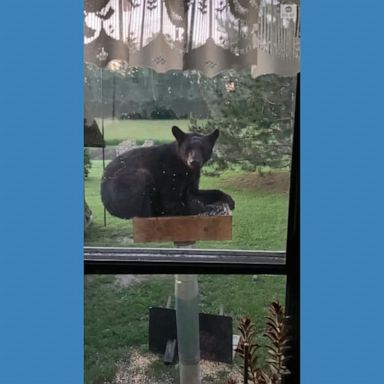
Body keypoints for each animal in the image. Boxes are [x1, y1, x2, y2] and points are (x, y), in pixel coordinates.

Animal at [100, 124, 234, 218]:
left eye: (202, 148)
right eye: (187, 148)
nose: (194, 162)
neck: (184, 167)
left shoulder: (192, 178)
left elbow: (198, 192)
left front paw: (229, 200)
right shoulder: (169, 175)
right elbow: (172, 201)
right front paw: (201, 208)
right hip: (130, 180)